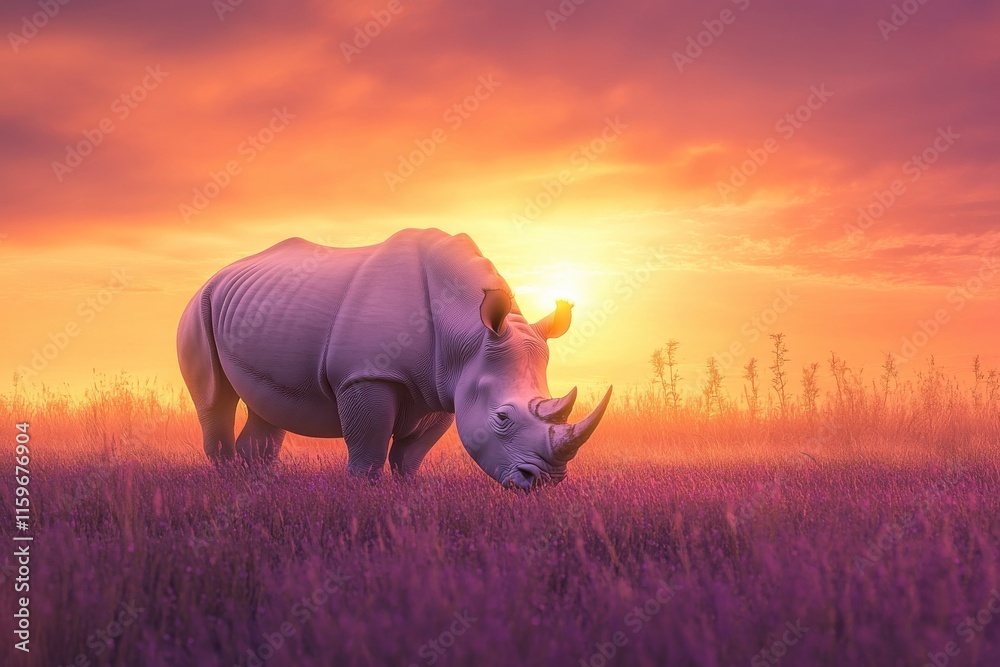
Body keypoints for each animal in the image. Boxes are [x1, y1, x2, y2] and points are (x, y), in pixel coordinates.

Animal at [177, 228, 611, 490]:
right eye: (502, 418)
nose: (545, 480)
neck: (467, 334)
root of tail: (218, 273)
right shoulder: (365, 374)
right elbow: (368, 451)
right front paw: (363, 498)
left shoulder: (445, 385)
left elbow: (410, 456)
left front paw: (407, 494)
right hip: (199, 306)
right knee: (214, 398)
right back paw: (229, 483)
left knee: (266, 406)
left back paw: (258, 483)